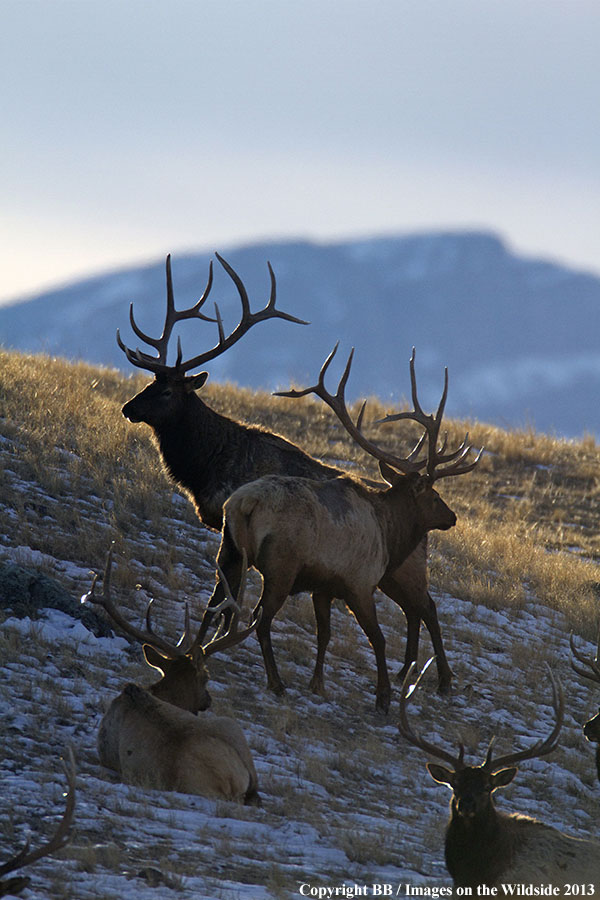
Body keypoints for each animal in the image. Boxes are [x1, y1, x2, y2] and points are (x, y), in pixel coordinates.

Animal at [216, 346, 480, 713]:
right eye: (434, 495)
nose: (452, 517)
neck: (389, 531)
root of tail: (243, 504)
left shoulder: (323, 587)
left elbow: (324, 634)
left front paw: (317, 684)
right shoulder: (359, 583)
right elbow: (378, 639)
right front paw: (382, 698)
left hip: (228, 549)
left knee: (220, 597)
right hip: (281, 566)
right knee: (261, 618)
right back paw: (276, 682)